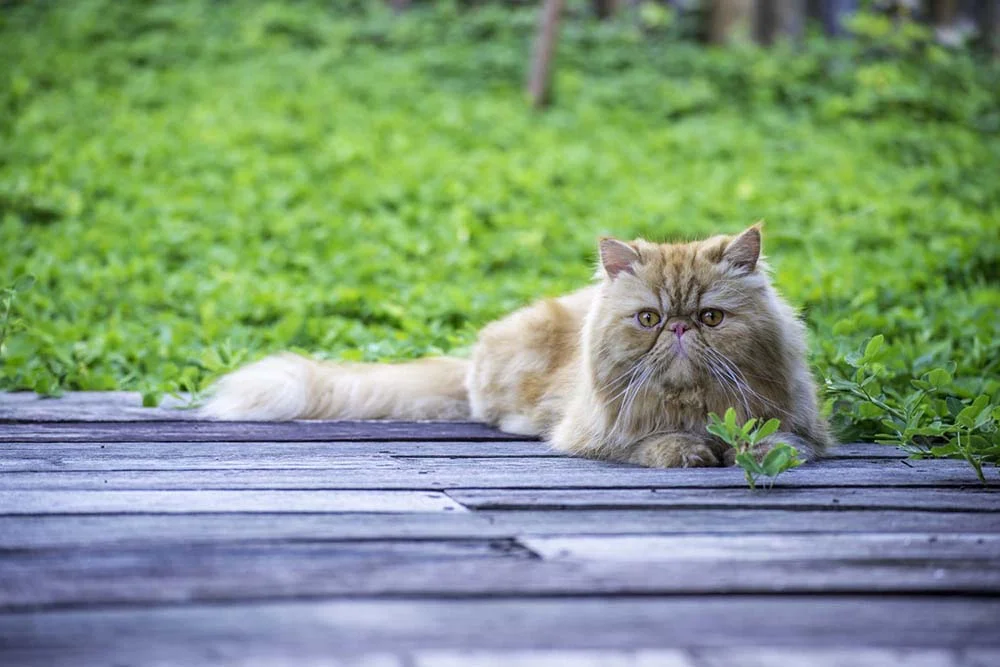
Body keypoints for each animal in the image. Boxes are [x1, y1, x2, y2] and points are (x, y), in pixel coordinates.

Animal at [199, 227, 832, 468]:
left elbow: (777, 441)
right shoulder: (594, 434)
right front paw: (685, 449)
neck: (694, 406)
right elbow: (651, 443)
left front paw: (749, 451)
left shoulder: (799, 425)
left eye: (710, 318)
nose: (678, 330)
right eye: (649, 319)